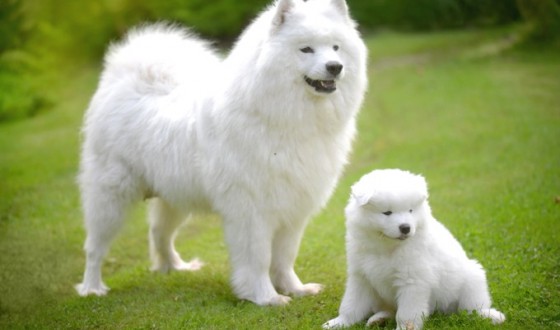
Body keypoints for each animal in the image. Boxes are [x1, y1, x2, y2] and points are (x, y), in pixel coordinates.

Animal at [74, 0, 368, 306]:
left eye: (335, 47)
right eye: (306, 49)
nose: (335, 67)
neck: (281, 117)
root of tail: (122, 83)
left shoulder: (293, 208)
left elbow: (285, 257)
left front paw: (294, 289)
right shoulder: (251, 210)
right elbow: (258, 258)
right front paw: (265, 297)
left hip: (175, 198)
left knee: (159, 233)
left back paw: (174, 267)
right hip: (110, 198)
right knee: (94, 247)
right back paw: (92, 288)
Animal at [322, 169, 506, 328]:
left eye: (411, 210)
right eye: (387, 212)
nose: (405, 227)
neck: (386, 247)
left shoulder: (412, 282)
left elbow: (406, 314)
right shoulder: (361, 277)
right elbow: (351, 305)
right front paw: (339, 323)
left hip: (471, 278)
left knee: (471, 307)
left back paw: (489, 316)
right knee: (389, 310)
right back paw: (378, 319)